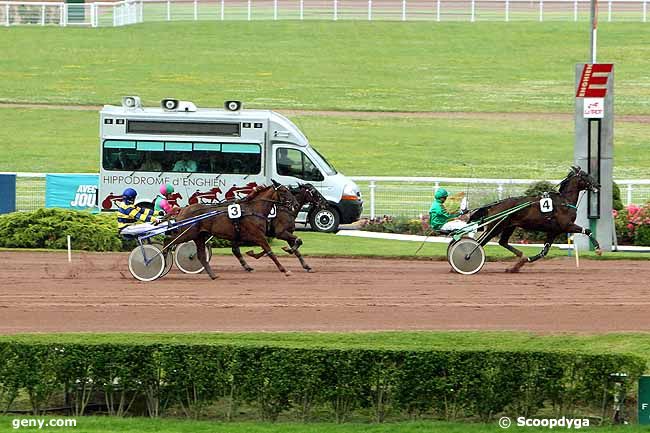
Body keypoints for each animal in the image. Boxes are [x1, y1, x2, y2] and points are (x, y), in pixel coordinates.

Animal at [166, 181, 298, 278]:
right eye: (284, 191)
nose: (296, 204)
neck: (252, 210)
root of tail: (183, 209)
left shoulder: (243, 236)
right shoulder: (258, 236)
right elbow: (269, 251)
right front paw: (284, 269)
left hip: (199, 236)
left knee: (201, 256)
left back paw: (213, 275)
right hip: (187, 233)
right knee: (169, 241)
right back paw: (164, 257)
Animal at [468, 166, 600, 272]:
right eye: (586, 175)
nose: (598, 185)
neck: (564, 202)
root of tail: (495, 204)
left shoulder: (554, 231)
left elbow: (544, 252)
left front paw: (519, 264)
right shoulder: (566, 225)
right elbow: (587, 230)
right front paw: (598, 249)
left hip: (509, 226)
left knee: (502, 242)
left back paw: (520, 254)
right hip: (496, 227)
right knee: (480, 242)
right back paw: (467, 257)